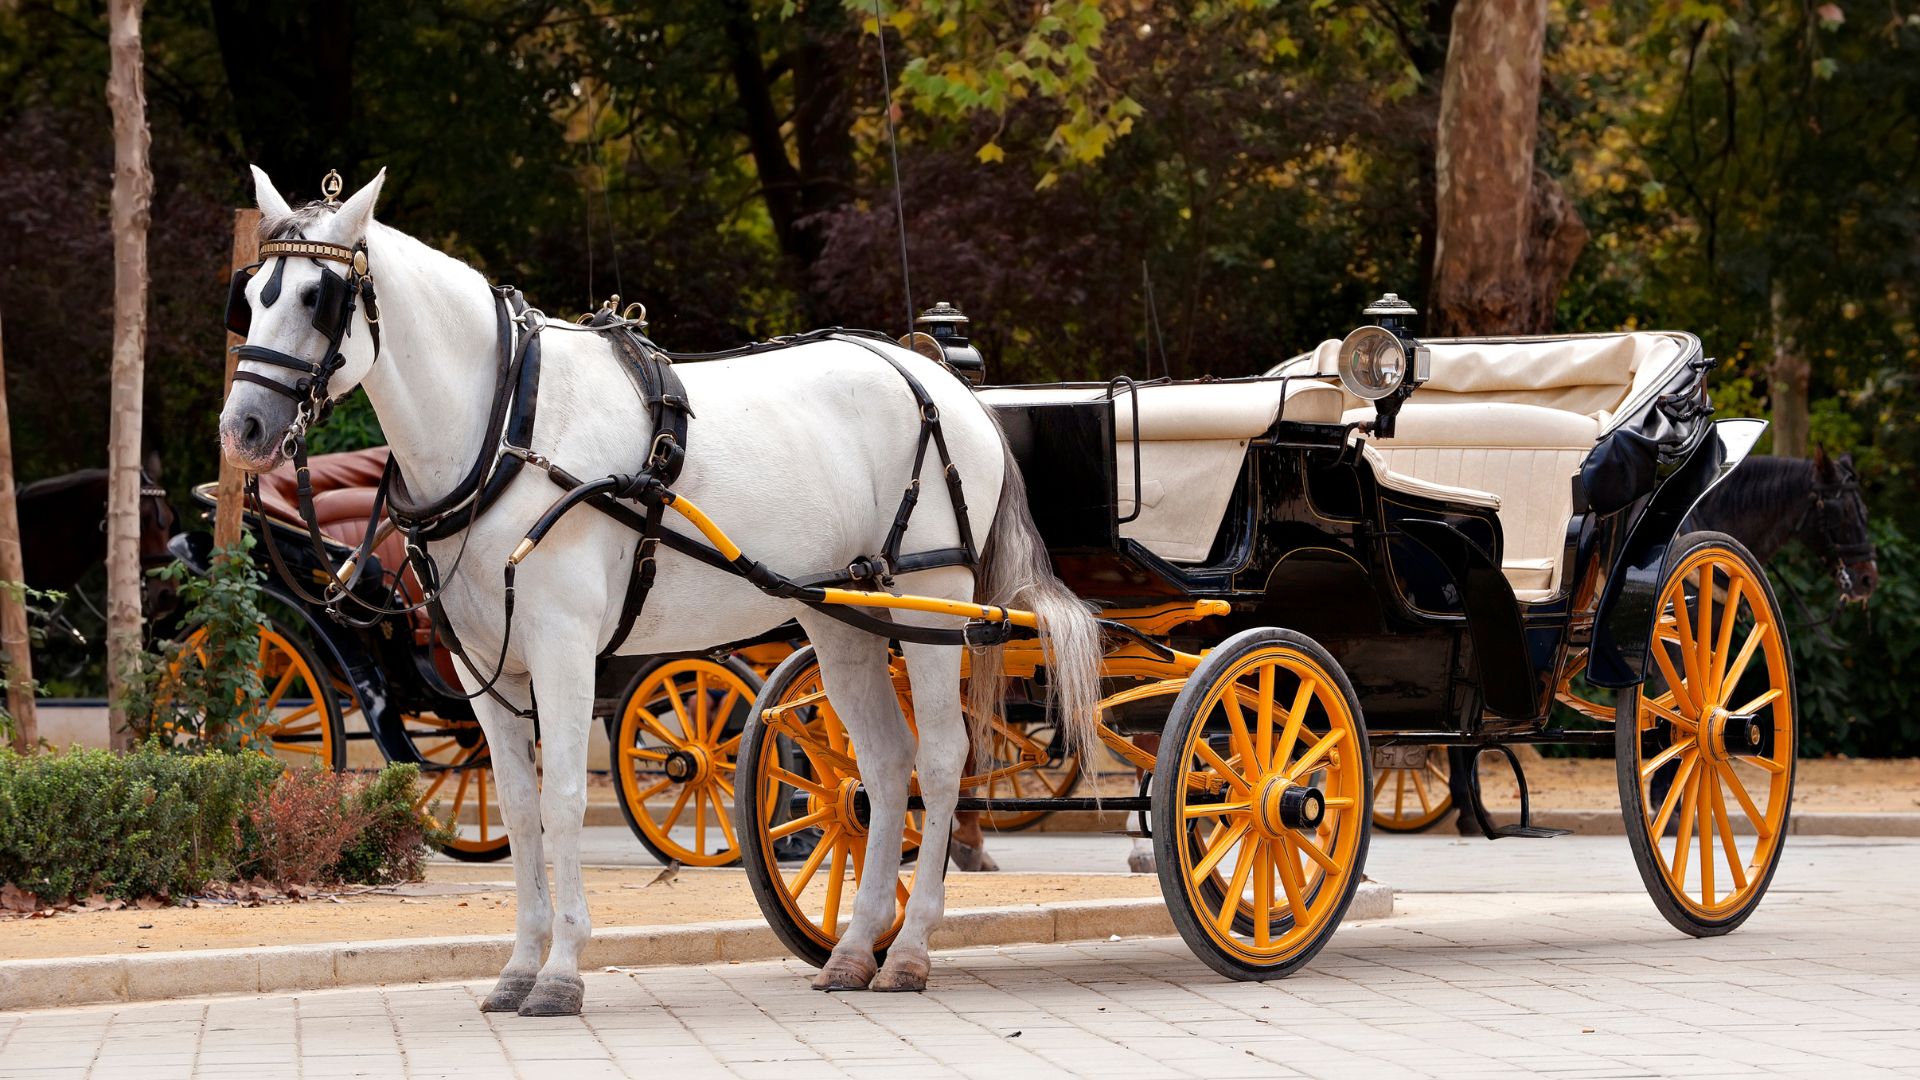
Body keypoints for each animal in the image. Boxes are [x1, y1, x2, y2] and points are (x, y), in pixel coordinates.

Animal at [219, 166, 1105, 1006]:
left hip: (935, 599)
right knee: (886, 765)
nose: (242, 430)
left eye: (318, 298)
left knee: (945, 759)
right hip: (845, 615)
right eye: (252, 298)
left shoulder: (563, 647)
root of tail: (940, 379)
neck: (509, 426)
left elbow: (563, 799)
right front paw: (518, 968)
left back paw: (912, 949)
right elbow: (517, 806)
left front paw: (561, 973)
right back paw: (855, 951)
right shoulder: (479, 665)